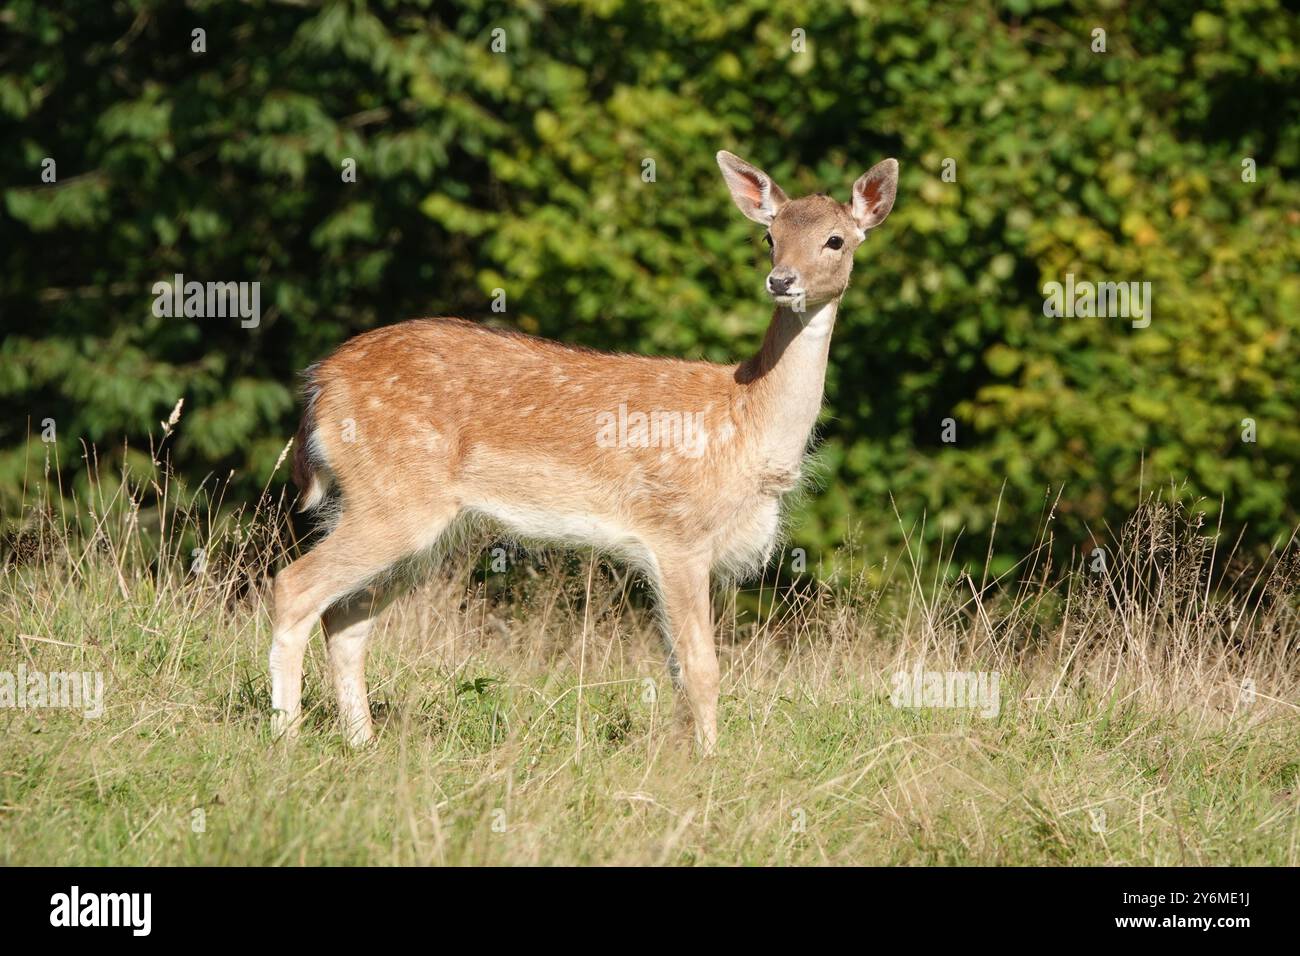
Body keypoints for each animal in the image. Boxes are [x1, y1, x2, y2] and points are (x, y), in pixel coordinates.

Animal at [270, 150, 899, 752]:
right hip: (392, 497)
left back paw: (361, 743)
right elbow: (701, 669)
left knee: (345, 616)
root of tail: (320, 385)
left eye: (836, 239)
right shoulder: (677, 533)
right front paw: (710, 764)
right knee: (294, 586)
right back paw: (286, 739)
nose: (782, 280)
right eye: (769, 236)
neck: (746, 423)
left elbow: (680, 670)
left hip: (419, 525)